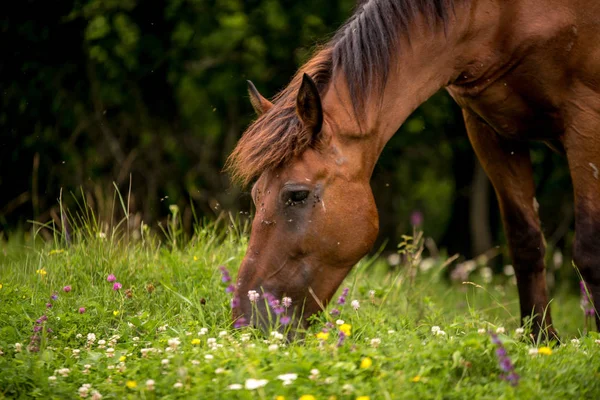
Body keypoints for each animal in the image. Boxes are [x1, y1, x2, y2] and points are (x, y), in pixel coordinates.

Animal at [226, 0, 600, 340]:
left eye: (297, 195)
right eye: (257, 194)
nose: (247, 318)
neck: (503, 17)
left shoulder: (586, 120)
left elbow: (588, 251)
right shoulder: (489, 130)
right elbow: (526, 243)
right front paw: (541, 341)